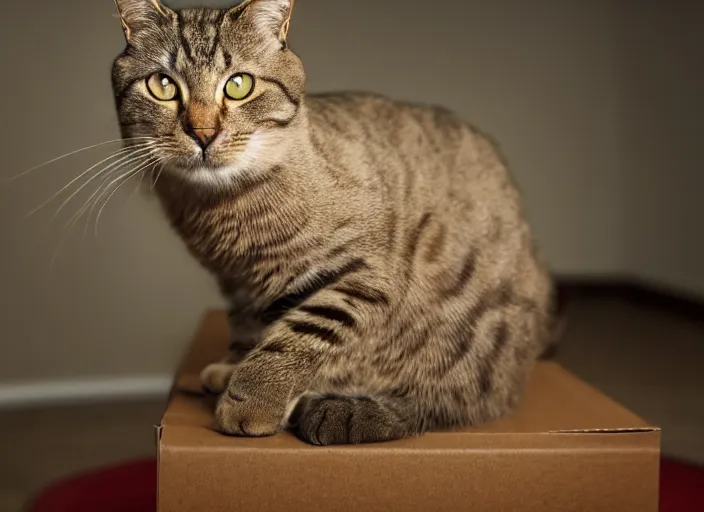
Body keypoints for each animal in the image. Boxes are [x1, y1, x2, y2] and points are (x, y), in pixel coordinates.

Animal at [113, 0, 560, 444]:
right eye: (163, 86)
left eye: (238, 85)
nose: (203, 132)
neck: (220, 209)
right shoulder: (238, 284)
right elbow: (248, 327)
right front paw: (233, 368)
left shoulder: (364, 275)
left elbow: (297, 338)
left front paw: (254, 399)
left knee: (445, 402)